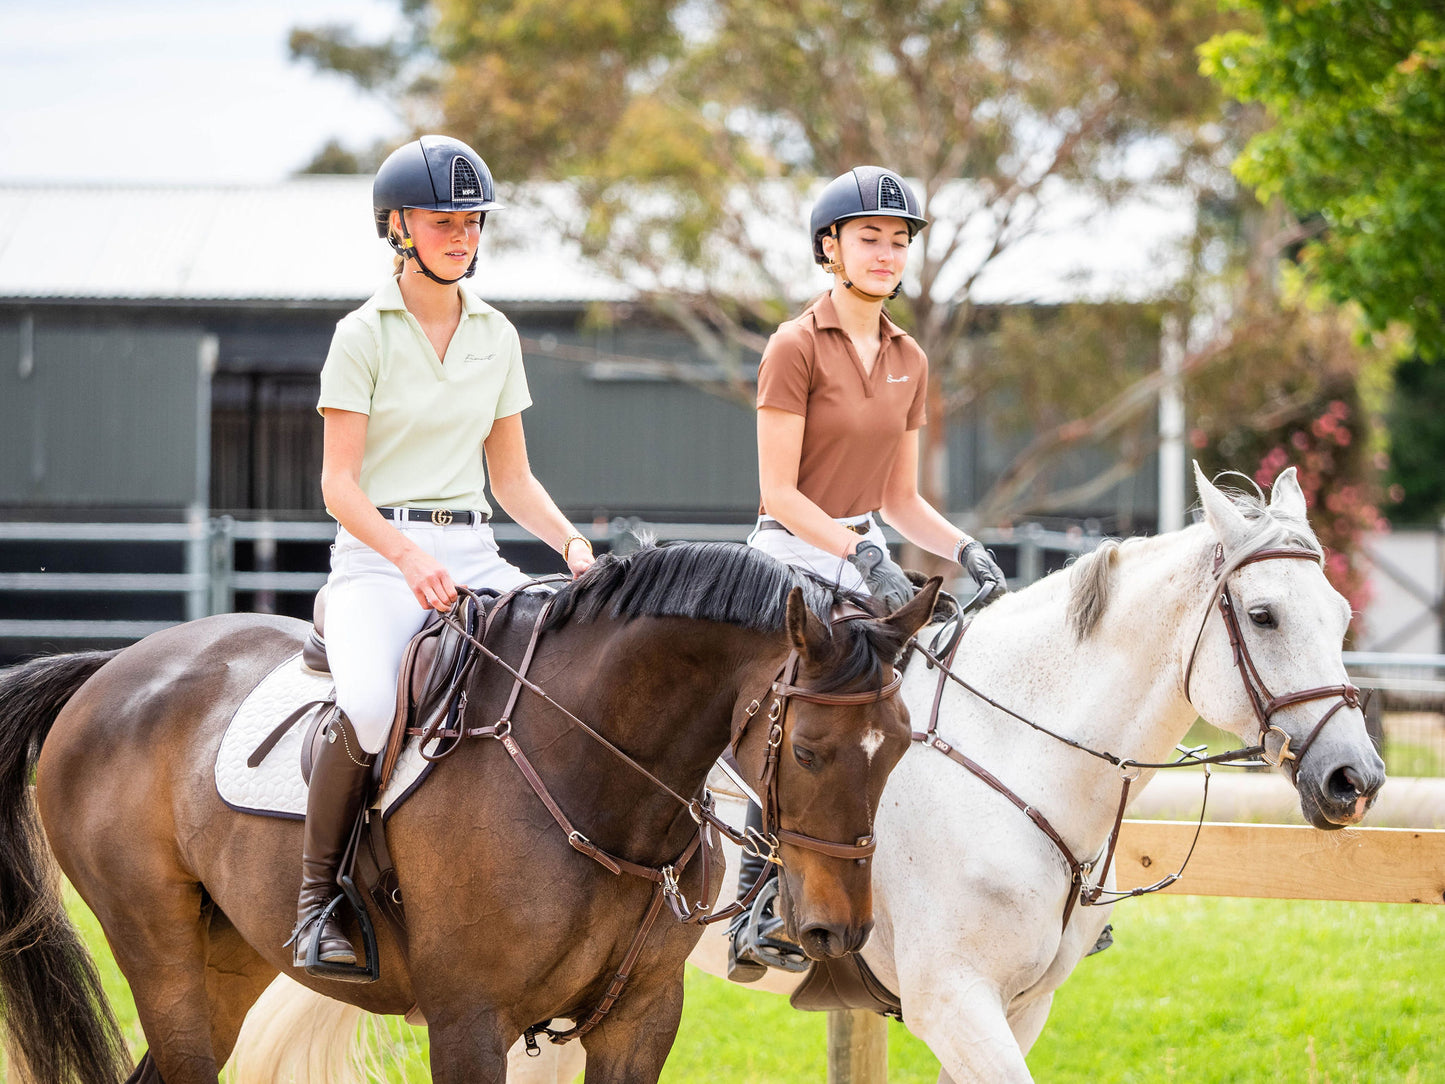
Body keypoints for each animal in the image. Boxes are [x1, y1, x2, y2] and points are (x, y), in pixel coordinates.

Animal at [0, 543, 942, 1084]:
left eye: (899, 745)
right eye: (809, 750)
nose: (833, 931)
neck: (601, 784)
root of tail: (110, 668)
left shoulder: (639, 1021)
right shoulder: (468, 1024)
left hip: (226, 953)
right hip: (156, 945)